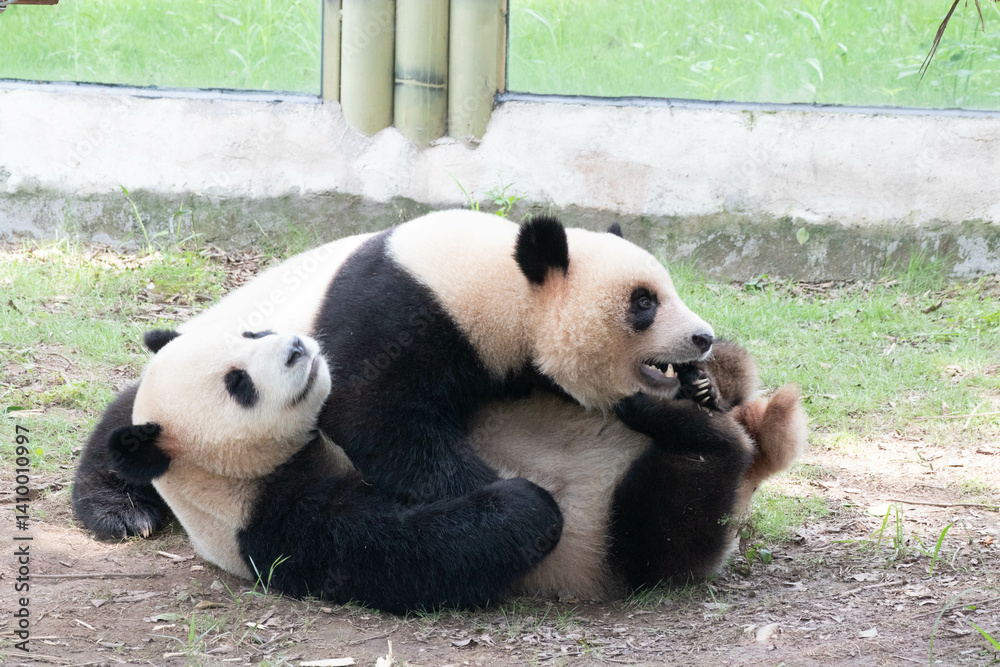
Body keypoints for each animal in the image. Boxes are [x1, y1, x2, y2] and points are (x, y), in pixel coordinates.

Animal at [75, 209, 716, 540]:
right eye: (643, 303)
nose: (704, 337)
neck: (499, 281)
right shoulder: (399, 311)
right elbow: (376, 414)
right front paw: (485, 487)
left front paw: (702, 388)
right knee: (126, 419)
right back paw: (121, 510)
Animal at [107, 327, 564, 614]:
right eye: (238, 384)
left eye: (251, 334)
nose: (296, 347)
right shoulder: (276, 527)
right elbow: (400, 553)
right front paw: (528, 505)